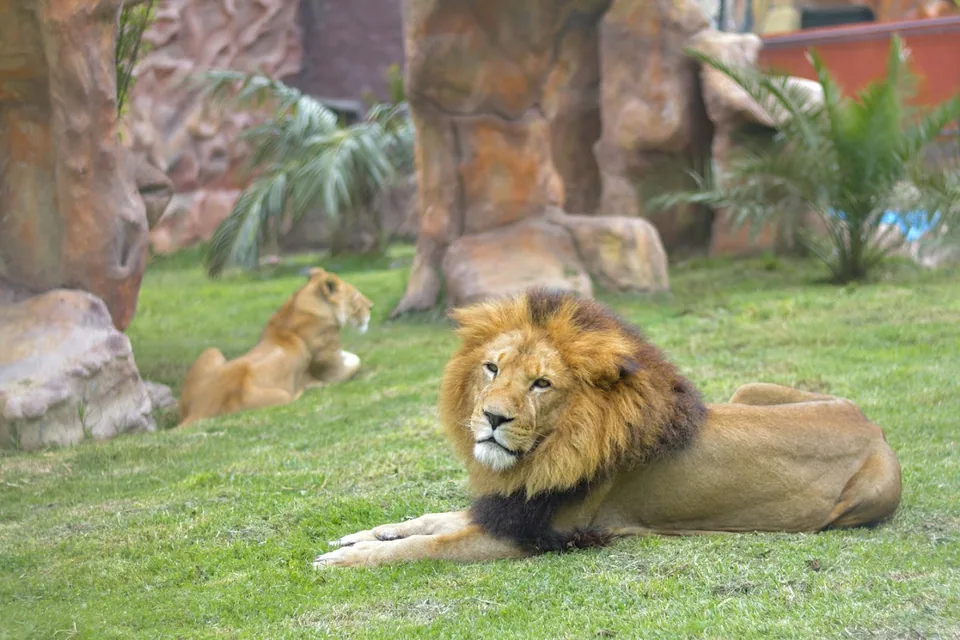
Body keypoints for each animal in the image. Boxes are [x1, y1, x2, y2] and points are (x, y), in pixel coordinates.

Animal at [178, 267, 373, 426]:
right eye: (356, 297)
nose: (371, 306)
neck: (300, 305)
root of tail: (198, 410)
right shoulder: (332, 369)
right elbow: (355, 360)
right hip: (283, 396)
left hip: (211, 351)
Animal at [313, 288, 902, 568]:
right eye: (492, 369)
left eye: (541, 384)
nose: (493, 418)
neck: (549, 449)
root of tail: (874, 427)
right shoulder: (514, 503)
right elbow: (429, 521)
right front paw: (365, 534)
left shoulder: (533, 536)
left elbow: (426, 546)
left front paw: (345, 559)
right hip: (749, 390)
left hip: (856, 504)